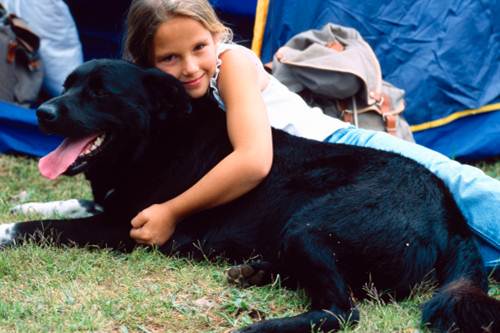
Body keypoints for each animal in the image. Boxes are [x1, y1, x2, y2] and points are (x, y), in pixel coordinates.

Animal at [1, 59, 498, 332]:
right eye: (67, 85)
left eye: (100, 92)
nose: (42, 113)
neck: (158, 138)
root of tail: (450, 214)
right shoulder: (110, 205)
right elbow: (64, 205)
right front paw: (22, 202)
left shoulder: (127, 227)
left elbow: (38, 228)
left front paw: (8, 225)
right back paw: (255, 271)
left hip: (308, 227)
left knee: (343, 312)